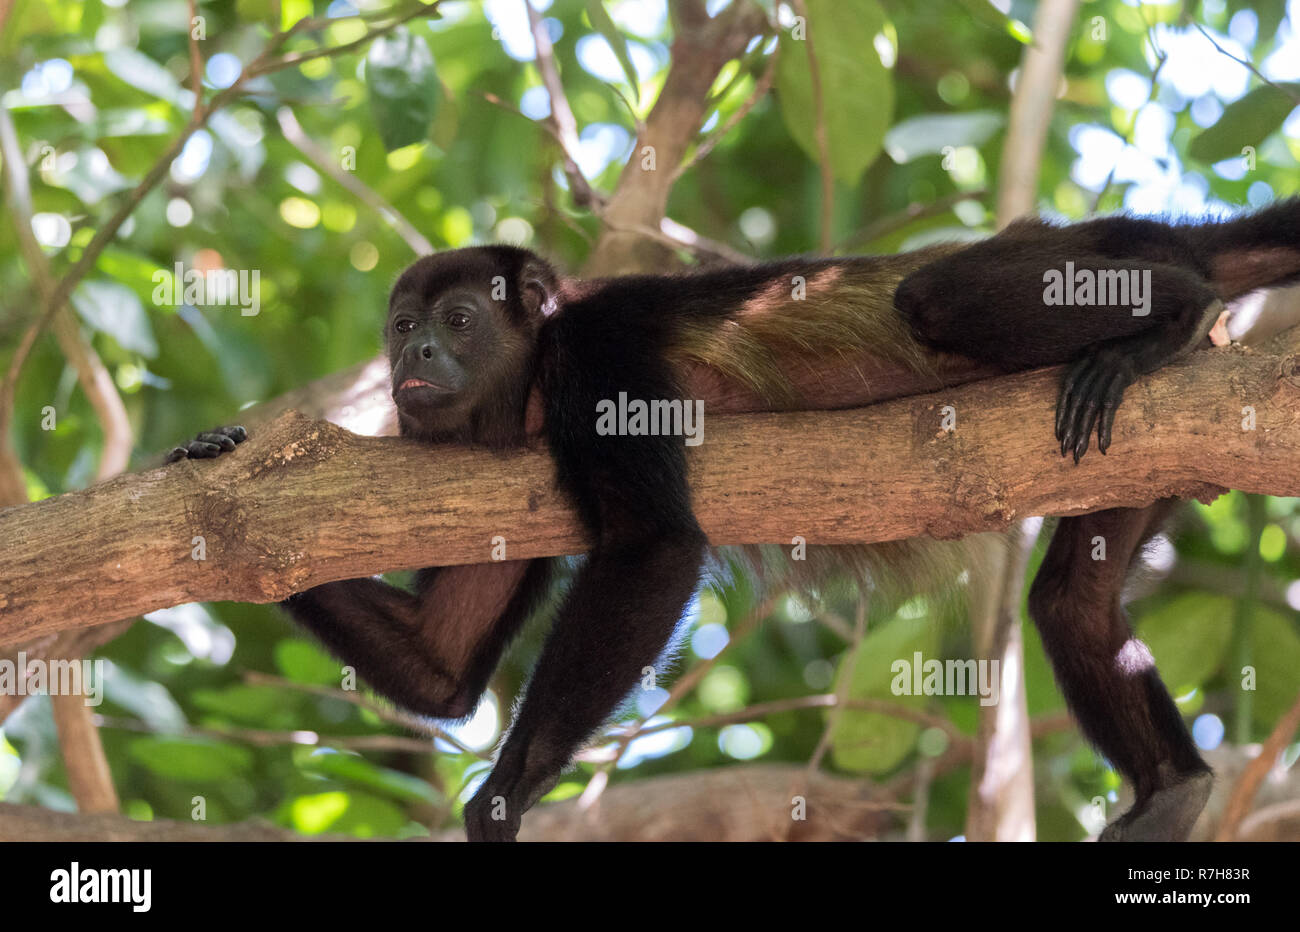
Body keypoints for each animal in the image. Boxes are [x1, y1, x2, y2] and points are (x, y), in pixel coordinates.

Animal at [172, 204, 1300, 842]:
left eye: (457, 319)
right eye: (402, 325)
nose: (416, 359)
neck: (527, 388)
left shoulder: (600, 354)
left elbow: (658, 548)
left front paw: (504, 795)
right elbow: (437, 668)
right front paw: (212, 455)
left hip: (1082, 258)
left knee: (936, 293)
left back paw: (1173, 312)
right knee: (1073, 599)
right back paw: (1173, 790)